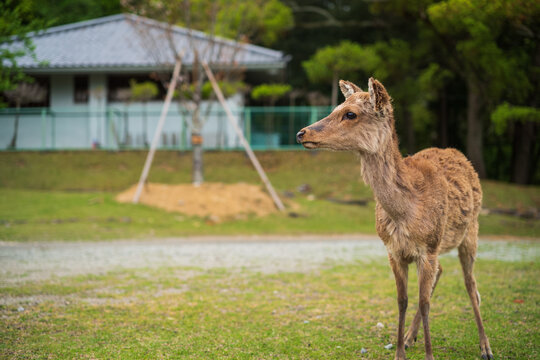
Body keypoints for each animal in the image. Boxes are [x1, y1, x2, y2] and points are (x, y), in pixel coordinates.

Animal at [296, 79, 494, 360]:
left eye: (350, 114)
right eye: (336, 107)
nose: (302, 133)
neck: (404, 213)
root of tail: (458, 154)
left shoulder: (428, 248)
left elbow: (425, 302)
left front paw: (429, 355)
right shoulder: (393, 250)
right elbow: (403, 300)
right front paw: (400, 350)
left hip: (470, 232)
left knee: (471, 285)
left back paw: (485, 347)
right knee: (443, 272)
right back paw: (411, 338)